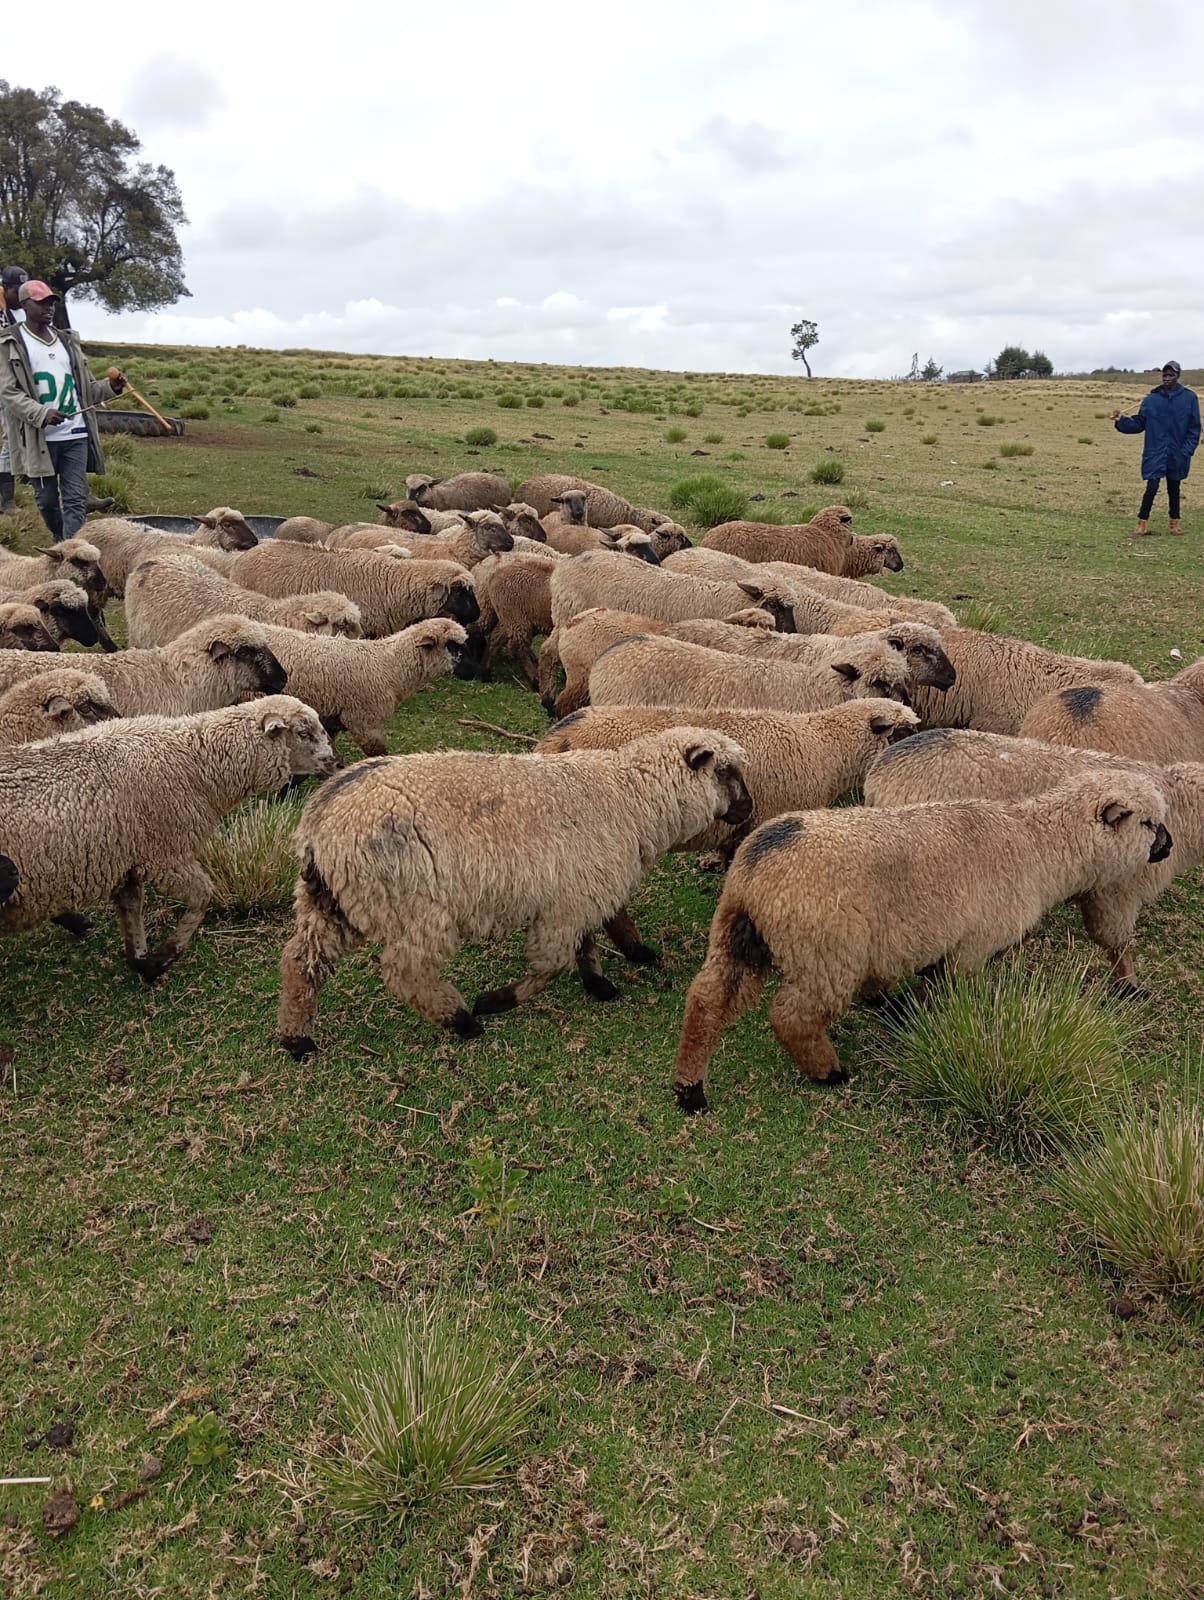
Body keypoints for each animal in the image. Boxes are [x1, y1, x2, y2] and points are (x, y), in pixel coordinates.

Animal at [0, 695, 337, 981]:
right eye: (303, 732)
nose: (335, 762)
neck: (195, 761)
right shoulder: (166, 854)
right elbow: (203, 896)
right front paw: (164, 957)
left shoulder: (130, 857)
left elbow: (131, 907)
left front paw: (140, 960)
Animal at [250, 618, 471, 757]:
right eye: (452, 645)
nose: (474, 671)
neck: (390, 666)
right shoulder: (364, 721)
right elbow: (377, 754)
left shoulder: (331, 720)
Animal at [277, 727, 752, 1058]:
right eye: (725, 771)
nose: (749, 810)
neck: (633, 798)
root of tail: (323, 817)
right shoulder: (570, 901)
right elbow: (554, 962)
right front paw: (496, 1001)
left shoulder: (584, 891)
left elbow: (589, 943)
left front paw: (604, 982)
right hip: (411, 904)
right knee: (404, 971)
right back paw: (462, 1020)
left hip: (333, 900)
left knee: (301, 960)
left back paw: (298, 1041)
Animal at [671, 771, 1173, 1109]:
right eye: (1149, 823)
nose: (1167, 846)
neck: (1036, 846)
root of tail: (757, 866)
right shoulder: (972, 945)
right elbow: (951, 989)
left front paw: (897, 1008)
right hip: (825, 952)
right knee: (792, 1017)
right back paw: (829, 1072)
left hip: (737, 935)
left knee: (706, 999)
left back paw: (690, 1090)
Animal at [864, 726, 1204, 992]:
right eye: (1148, 823)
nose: (1168, 846)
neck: (1182, 807)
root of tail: (878, 774)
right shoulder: (1115, 892)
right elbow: (1118, 944)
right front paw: (1130, 987)